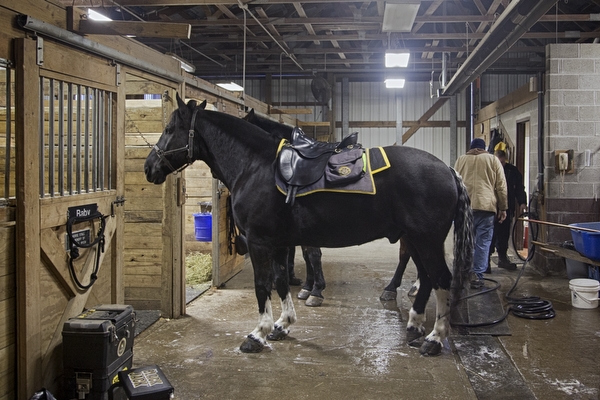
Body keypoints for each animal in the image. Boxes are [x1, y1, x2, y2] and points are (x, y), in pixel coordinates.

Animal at [241, 109, 420, 304]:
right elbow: (307, 255)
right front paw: (307, 287)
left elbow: (313, 255)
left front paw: (315, 290)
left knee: (406, 255)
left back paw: (400, 288)